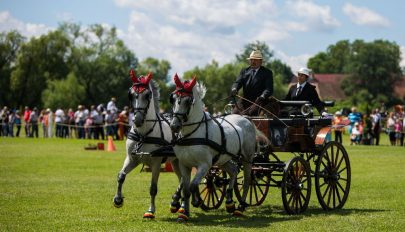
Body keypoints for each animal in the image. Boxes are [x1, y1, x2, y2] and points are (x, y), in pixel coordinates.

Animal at [113, 70, 183, 218]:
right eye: (131, 94)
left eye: (147, 95)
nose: (137, 119)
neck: (143, 134)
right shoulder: (132, 159)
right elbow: (121, 176)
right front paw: (118, 200)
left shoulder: (156, 164)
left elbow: (153, 188)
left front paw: (150, 210)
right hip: (175, 162)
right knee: (182, 179)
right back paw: (177, 203)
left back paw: (176, 203)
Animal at [169, 75, 264, 222]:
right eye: (173, 99)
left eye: (188, 101)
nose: (174, 126)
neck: (192, 134)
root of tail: (245, 118)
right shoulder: (184, 164)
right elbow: (185, 188)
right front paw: (184, 213)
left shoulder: (204, 165)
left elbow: (193, 185)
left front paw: (196, 202)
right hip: (223, 159)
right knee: (233, 171)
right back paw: (230, 202)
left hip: (247, 158)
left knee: (247, 181)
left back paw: (240, 207)